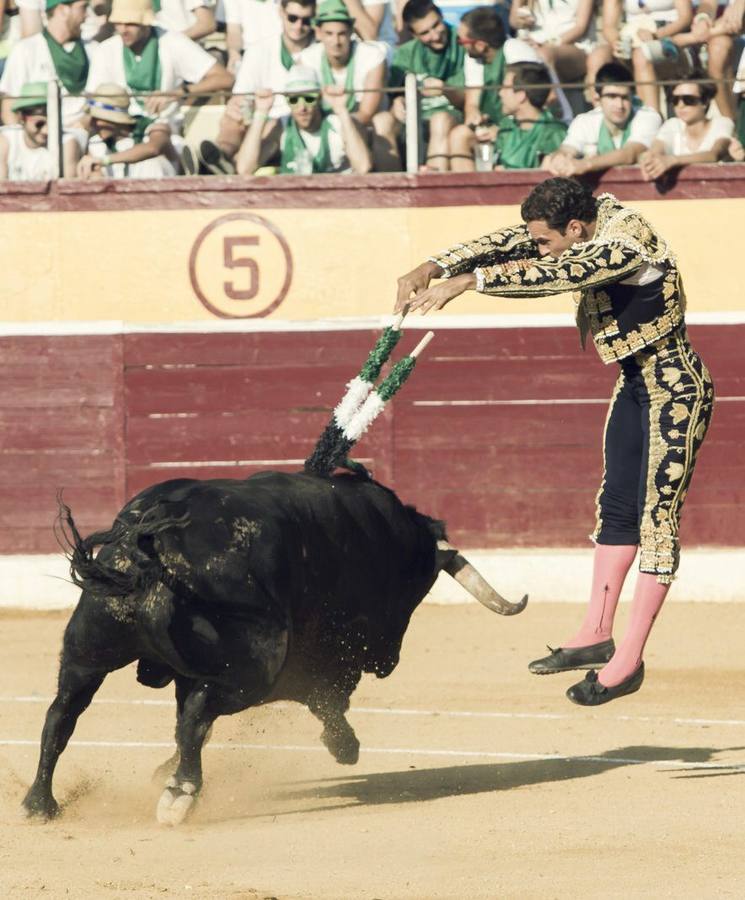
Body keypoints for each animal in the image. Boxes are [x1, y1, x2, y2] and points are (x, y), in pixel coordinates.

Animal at [23, 472, 524, 824]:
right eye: (418, 589)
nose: (388, 662)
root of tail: (154, 542)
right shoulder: (315, 660)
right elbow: (327, 698)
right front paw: (344, 745)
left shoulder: (192, 672)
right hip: (256, 669)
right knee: (194, 717)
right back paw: (180, 794)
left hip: (86, 652)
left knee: (61, 714)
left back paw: (40, 803)